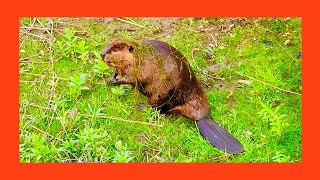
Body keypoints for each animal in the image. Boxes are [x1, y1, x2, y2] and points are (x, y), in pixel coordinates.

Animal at [101, 38, 244, 154]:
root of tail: (202, 118)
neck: (139, 55)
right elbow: (118, 71)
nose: (102, 54)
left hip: (163, 94)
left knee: (159, 109)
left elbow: (133, 78)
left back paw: (141, 106)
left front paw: (116, 81)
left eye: (115, 49)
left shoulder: (140, 67)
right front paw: (110, 78)